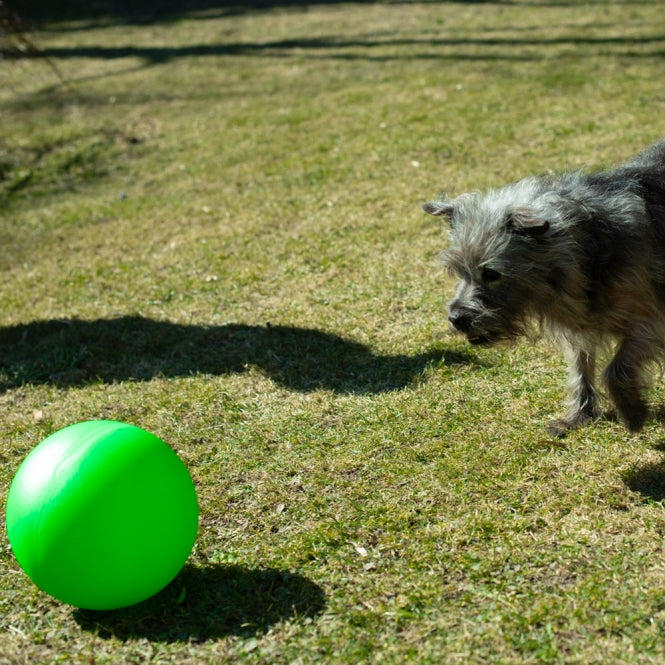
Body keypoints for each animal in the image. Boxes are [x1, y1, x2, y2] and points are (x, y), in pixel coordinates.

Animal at [422, 139, 664, 436]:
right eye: (459, 272)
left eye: (491, 273)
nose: (457, 318)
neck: (585, 250)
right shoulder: (581, 328)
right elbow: (580, 368)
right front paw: (579, 415)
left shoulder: (649, 322)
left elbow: (615, 369)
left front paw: (632, 411)